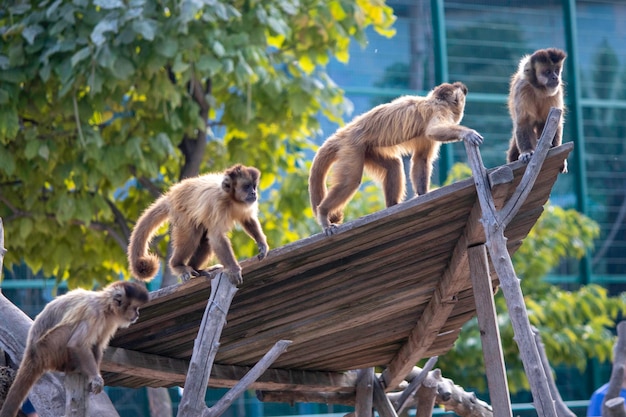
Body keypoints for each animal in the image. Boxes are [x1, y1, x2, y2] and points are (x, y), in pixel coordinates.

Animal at [129, 162, 268, 286]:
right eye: (246, 186)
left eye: (254, 186)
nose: (254, 193)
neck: (231, 199)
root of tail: (171, 196)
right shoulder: (218, 204)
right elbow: (217, 237)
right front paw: (233, 269)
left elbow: (248, 220)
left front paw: (262, 245)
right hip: (181, 212)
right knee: (192, 236)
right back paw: (177, 265)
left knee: (205, 238)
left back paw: (196, 269)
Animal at [308, 81, 482, 236]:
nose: (464, 92)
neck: (435, 99)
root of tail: (343, 133)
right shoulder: (439, 110)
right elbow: (434, 130)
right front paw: (466, 133)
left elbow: (421, 158)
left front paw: (423, 194)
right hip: (351, 147)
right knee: (350, 181)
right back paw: (323, 213)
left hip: (365, 149)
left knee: (393, 165)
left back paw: (392, 206)